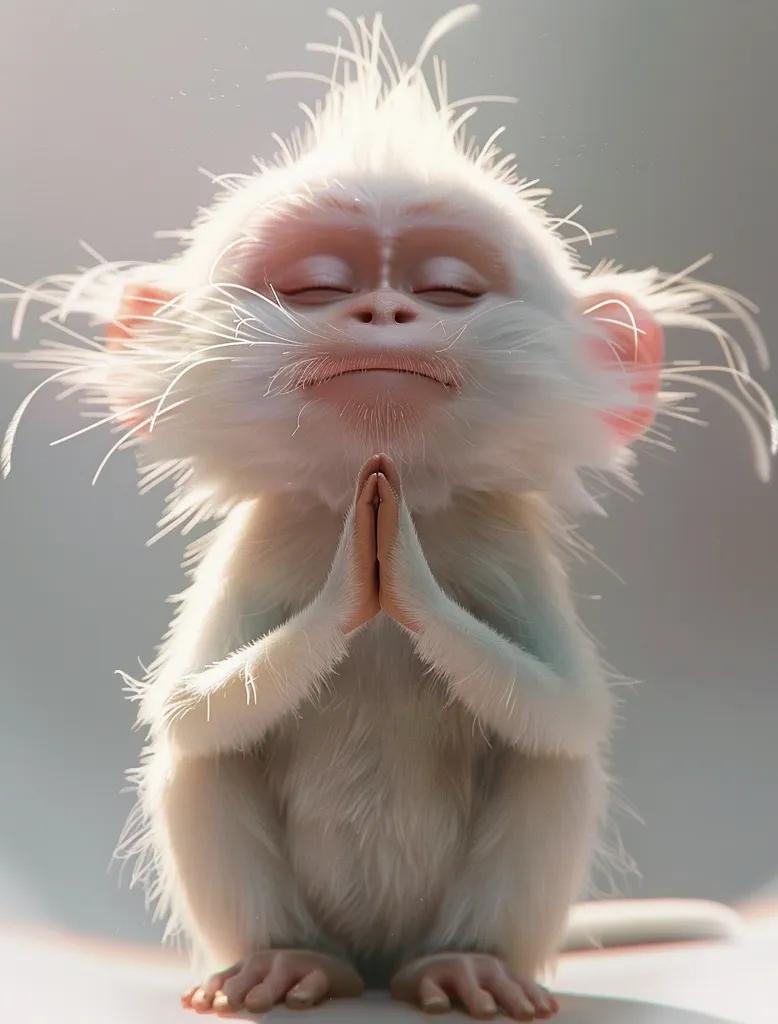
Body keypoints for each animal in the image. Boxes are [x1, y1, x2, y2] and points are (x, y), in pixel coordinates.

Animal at [2, 4, 775, 1020]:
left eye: (450, 288)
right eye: (315, 286)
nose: (382, 311)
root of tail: (375, 954)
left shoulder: (496, 534)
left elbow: (570, 713)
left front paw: (397, 565)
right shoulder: (269, 532)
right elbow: (185, 713)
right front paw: (355, 574)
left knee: (551, 765)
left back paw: (463, 965)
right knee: (198, 764)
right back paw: (288, 962)